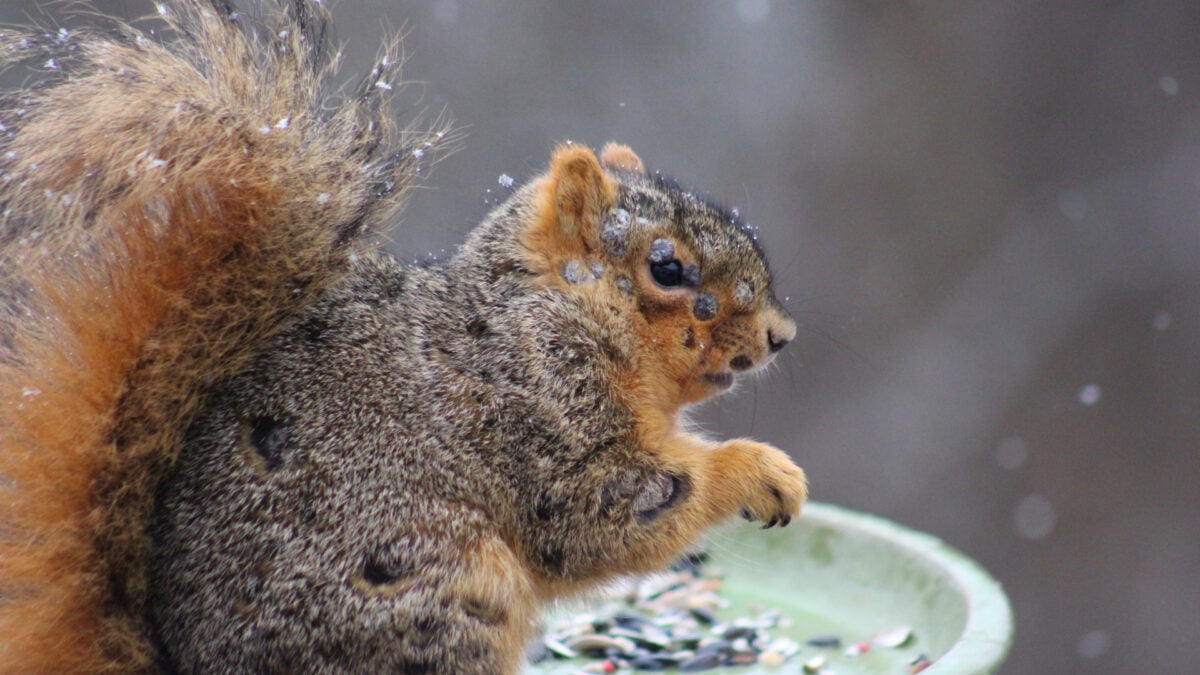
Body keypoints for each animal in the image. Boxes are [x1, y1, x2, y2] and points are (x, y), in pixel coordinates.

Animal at [0, 1, 807, 673]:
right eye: (666, 267)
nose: (780, 334)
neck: (553, 306)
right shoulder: (540, 411)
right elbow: (602, 512)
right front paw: (760, 472)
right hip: (439, 596)